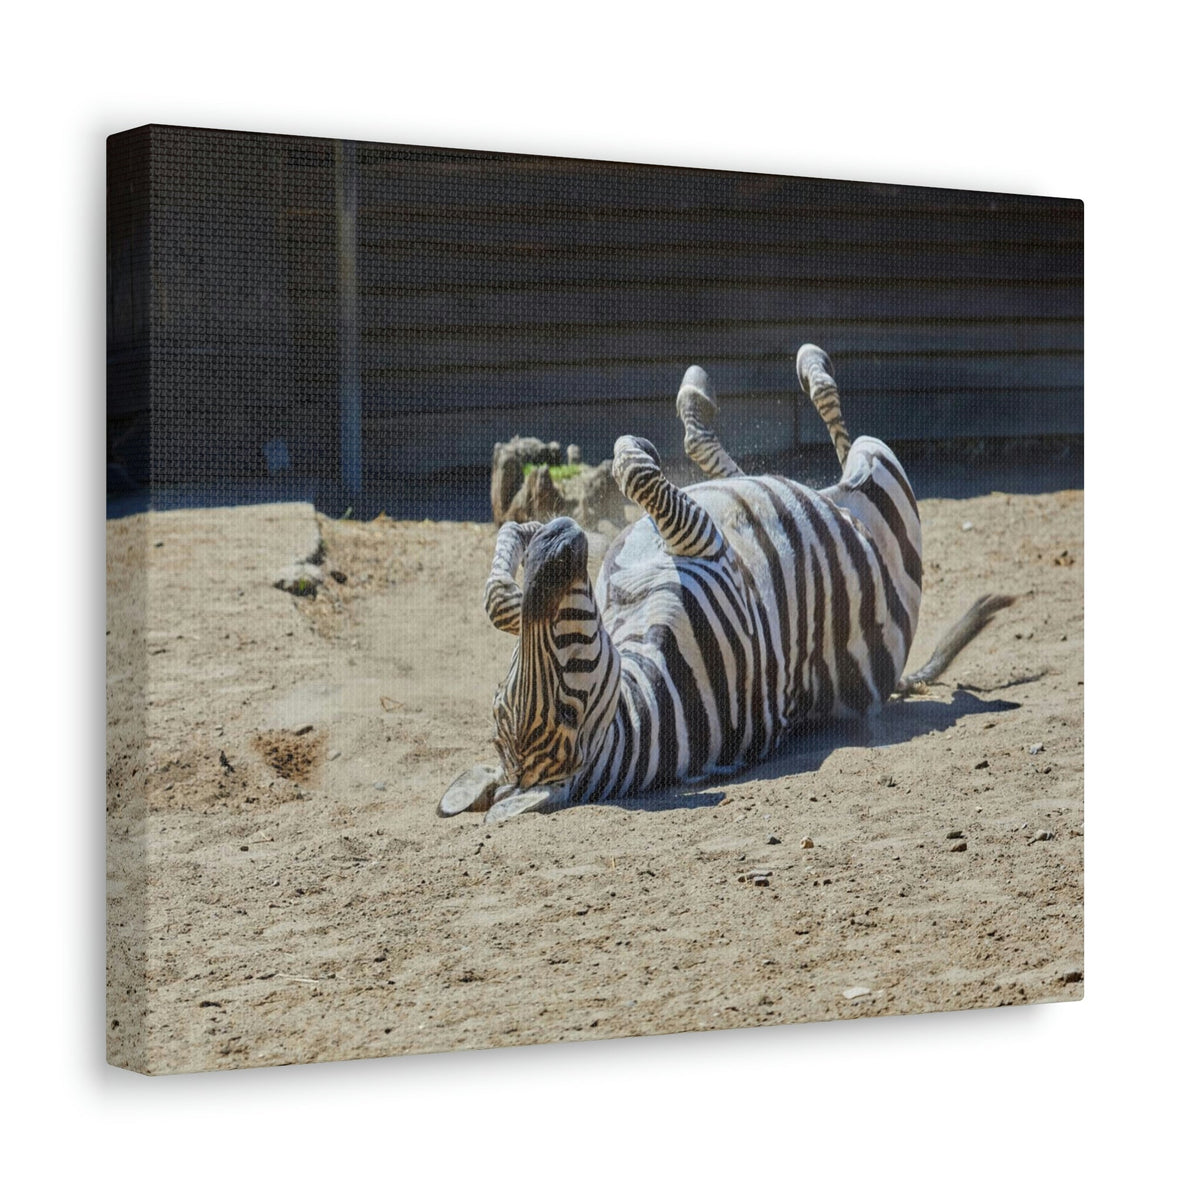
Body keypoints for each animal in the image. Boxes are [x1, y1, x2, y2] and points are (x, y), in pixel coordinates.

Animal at [440, 344, 1014, 822]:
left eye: (505, 693)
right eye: (566, 709)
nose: (558, 539)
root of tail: (892, 679)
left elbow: (499, 599)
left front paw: (520, 537)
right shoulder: (705, 545)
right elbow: (632, 466)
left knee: (735, 464)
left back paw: (704, 392)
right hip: (884, 485)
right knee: (840, 444)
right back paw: (808, 367)